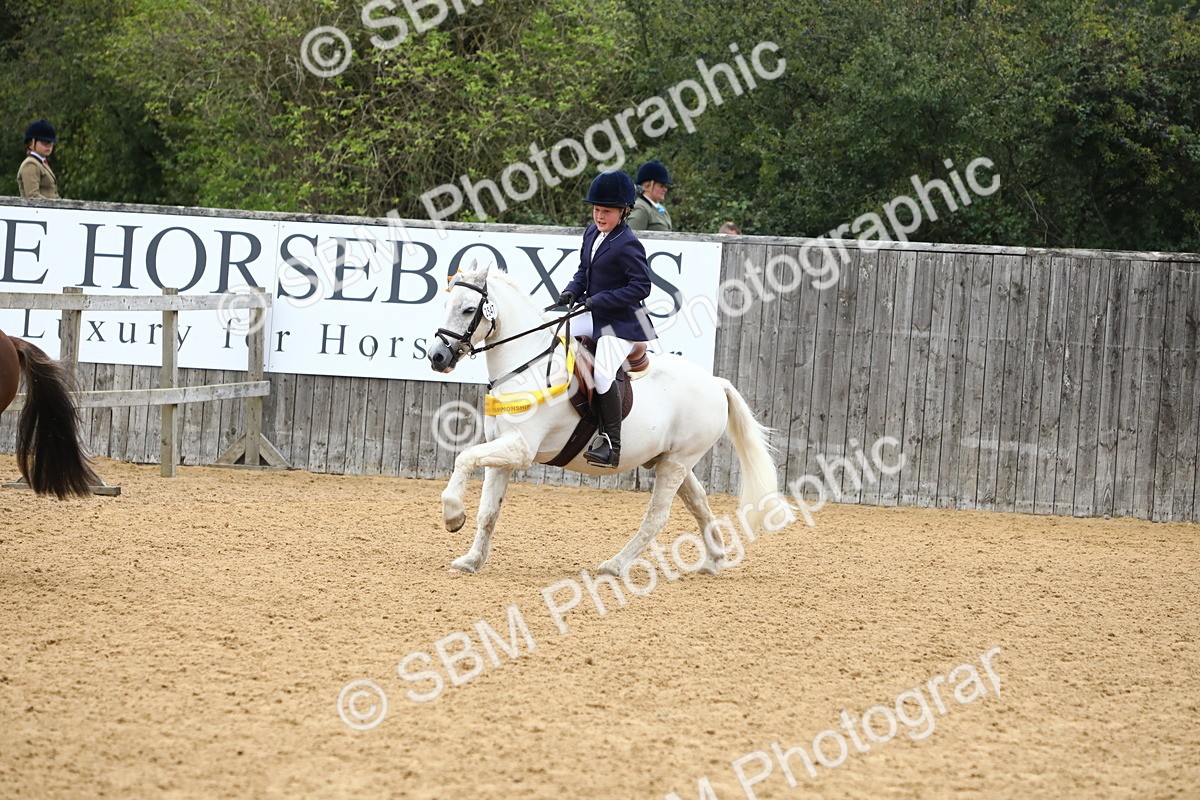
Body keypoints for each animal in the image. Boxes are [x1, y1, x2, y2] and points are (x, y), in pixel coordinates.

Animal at [426, 261, 786, 576]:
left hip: (677, 462)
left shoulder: (520, 448)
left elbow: (463, 458)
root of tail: (715, 383)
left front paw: (452, 516)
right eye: (446, 304)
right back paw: (714, 560)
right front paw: (471, 560)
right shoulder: (502, 451)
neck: (525, 364)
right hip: (671, 459)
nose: (437, 356)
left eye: (468, 310)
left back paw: (615, 565)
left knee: (657, 517)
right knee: (698, 502)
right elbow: (488, 511)